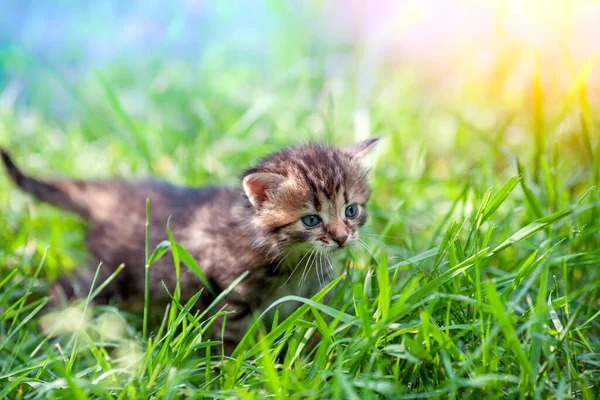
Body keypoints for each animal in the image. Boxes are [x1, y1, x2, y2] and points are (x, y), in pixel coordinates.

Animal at [0, 139, 378, 354]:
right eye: (311, 220)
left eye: (351, 211)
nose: (342, 238)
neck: (292, 260)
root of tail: (115, 195)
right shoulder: (230, 300)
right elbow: (231, 345)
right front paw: (234, 375)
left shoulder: (312, 299)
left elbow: (314, 330)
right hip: (109, 274)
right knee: (62, 286)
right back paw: (58, 333)